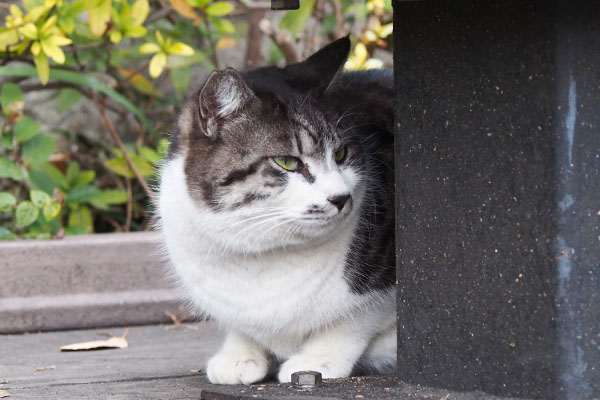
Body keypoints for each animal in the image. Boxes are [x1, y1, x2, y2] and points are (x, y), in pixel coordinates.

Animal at [157, 37, 396, 384]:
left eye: (341, 154)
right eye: (287, 162)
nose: (341, 197)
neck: (261, 256)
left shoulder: (377, 293)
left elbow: (356, 319)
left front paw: (318, 360)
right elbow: (240, 326)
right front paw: (240, 354)